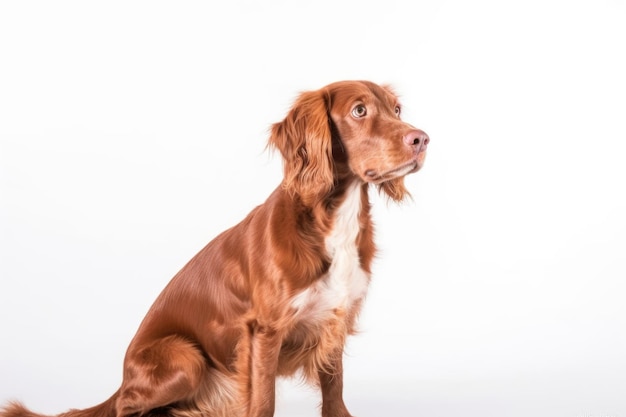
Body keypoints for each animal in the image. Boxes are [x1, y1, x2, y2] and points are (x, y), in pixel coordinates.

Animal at [0, 80, 428, 416]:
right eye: (359, 110)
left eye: (397, 109)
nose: (422, 139)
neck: (333, 219)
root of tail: (120, 382)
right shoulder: (264, 330)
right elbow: (264, 402)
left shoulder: (335, 319)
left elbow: (334, 392)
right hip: (184, 357)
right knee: (127, 408)